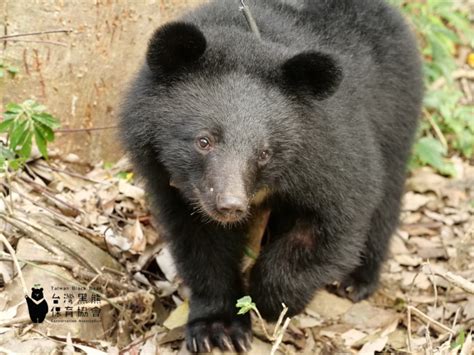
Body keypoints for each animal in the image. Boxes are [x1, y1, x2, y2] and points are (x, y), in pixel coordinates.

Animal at [120, 0, 424, 354]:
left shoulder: (329, 149)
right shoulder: (172, 180)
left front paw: (269, 301)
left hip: (396, 115)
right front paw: (218, 329)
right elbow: (201, 243)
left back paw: (356, 281)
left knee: (386, 199)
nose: (230, 206)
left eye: (264, 153)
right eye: (204, 141)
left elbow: (337, 216)